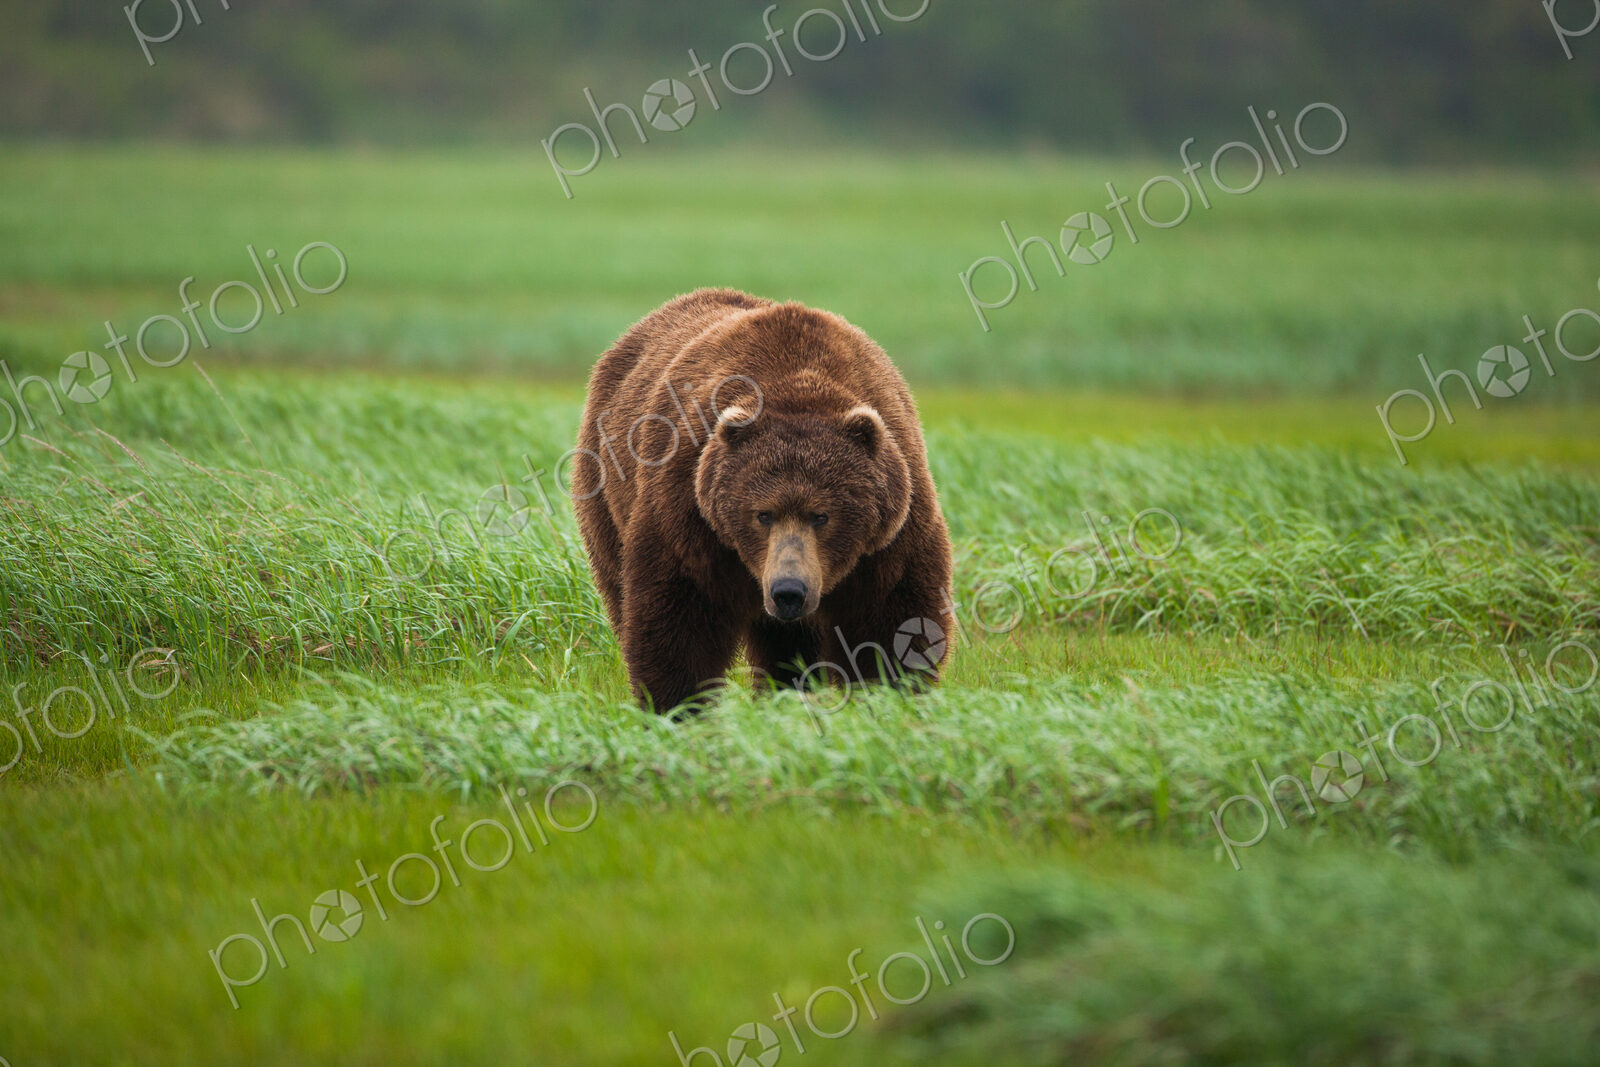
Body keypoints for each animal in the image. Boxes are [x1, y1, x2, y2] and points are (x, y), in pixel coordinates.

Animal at [573, 288, 954, 713]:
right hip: (604, 487)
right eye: (763, 514)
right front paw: (677, 706)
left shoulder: (890, 537)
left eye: (822, 516)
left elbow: (892, 623)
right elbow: (679, 619)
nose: (789, 591)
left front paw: (891, 695)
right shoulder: (690, 510)